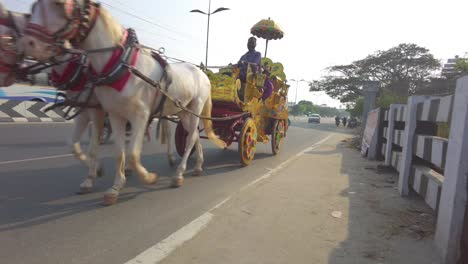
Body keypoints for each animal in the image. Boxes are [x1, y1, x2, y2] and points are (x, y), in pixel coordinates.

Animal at [0, 4, 105, 190]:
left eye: (9, 39)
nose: (2, 76)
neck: (77, 69)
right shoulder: (83, 112)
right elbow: (72, 145)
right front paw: (96, 170)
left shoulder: (97, 111)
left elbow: (94, 148)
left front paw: (90, 178)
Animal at [22, 0, 227, 206]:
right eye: (32, 9)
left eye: (59, 5)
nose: (29, 43)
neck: (120, 65)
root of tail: (203, 74)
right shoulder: (111, 114)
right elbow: (117, 151)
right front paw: (114, 186)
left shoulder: (137, 115)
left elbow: (131, 153)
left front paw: (148, 177)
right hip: (183, 111)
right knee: (192, 135)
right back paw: (197, 166)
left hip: (195, 106)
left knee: (190, 137)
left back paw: (178, 174)